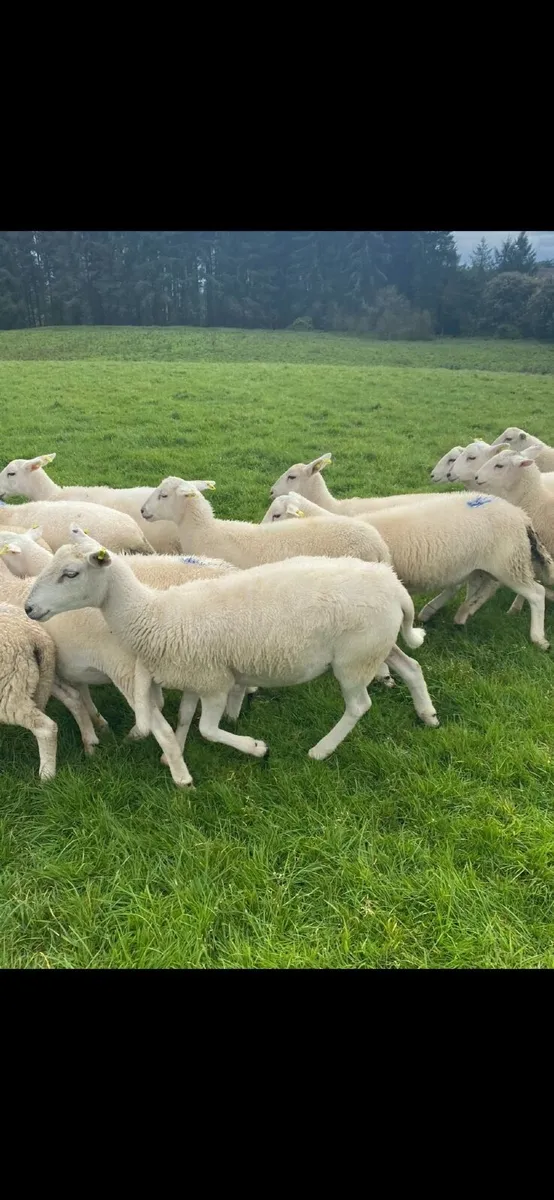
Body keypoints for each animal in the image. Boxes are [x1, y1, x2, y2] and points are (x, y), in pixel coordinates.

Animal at [24, 531, 438, 789]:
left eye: (70, 573)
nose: (28, 608)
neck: (154, 613)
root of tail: (394, 586)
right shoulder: (194, 677)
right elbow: (183, 717)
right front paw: (173, 755)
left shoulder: (215, 682)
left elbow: (209, 729)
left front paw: (256, 748)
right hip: (378, 644)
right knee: (411, 667)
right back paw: (427, 715)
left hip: (353, 658)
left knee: (358, 705)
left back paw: (321, 750)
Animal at [261, 490, 553, 649]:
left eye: (277, 515)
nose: (259, 528)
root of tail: (521, 515)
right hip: (485, 563)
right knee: (482, 588)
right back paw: (457, 614)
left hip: (508, 562)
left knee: (536, 593)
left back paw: (537, 638)